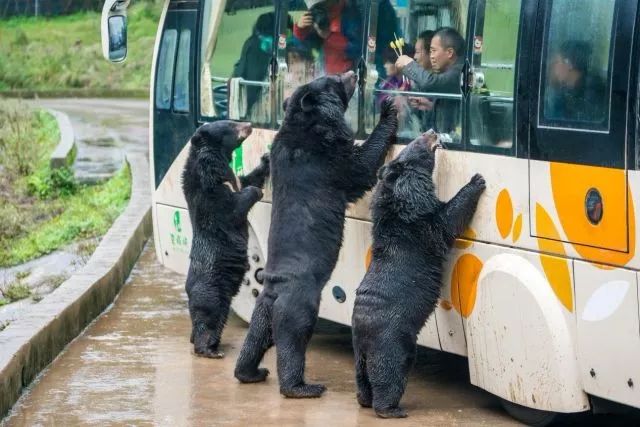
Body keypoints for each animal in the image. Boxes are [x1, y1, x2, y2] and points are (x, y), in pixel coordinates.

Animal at [182, 120, 270, 358]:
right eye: (231, 124)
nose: (249, 124)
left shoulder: (230, 179)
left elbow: (247, 179)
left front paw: (267, 159)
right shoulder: (211, 197)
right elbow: (235, 206)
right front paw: (256, 192)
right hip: (211, 294)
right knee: (208, 321)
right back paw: (209, 350)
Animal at [232, 72, 398, 400]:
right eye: (334, 80)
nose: (352, 73)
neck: (309, 121)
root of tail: (274, 291)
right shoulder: (327, 156)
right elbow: (359, 169)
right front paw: (388, 110)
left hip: (263, 312)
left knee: (256, 337)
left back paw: (250, 372)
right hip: (300, 304)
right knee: (293, 340)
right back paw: (302, 387)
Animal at [350, 132, 484, 420]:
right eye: (419, 144)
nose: (432, 131)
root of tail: (364, 337)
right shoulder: (422, 226)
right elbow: (446, 220)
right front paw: (477, 180)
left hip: (360, 354)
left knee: (362, 378)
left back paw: (364, 400)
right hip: (392, 342)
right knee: (390, 374)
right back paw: (392, 409)